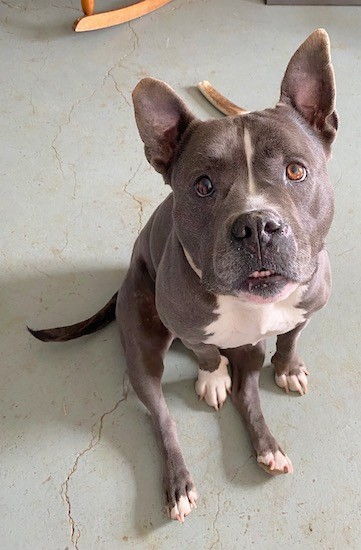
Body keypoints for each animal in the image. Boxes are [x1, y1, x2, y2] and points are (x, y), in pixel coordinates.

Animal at [29, 30, 336, 528]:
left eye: (296, 170)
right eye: (203, 185)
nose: (256, 226)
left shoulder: (307, 307)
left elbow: (291, 337)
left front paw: (288, 369)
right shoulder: (188, 328)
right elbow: (205, 352)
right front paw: (212, 377)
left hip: (249, 353)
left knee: (248, 393)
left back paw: (268, 449)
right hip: (142, 354)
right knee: (163, 419)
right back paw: (180, 484)